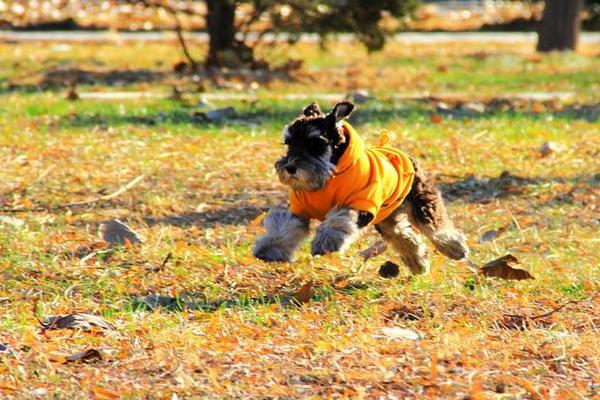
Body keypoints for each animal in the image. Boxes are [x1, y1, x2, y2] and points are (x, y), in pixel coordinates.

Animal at [253, 101, 468, 274]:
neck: (329, 175)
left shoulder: (359, 204)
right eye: (288, 143)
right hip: (386, 217)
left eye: (316, 144)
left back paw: (455, 249)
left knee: (435, 228)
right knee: (401, 235)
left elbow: (338, 220)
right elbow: (284, 226)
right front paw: (269, 249)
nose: (290, 168)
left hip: (421, 203)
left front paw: (325, 243)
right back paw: (418, 263)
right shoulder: (299, 210)